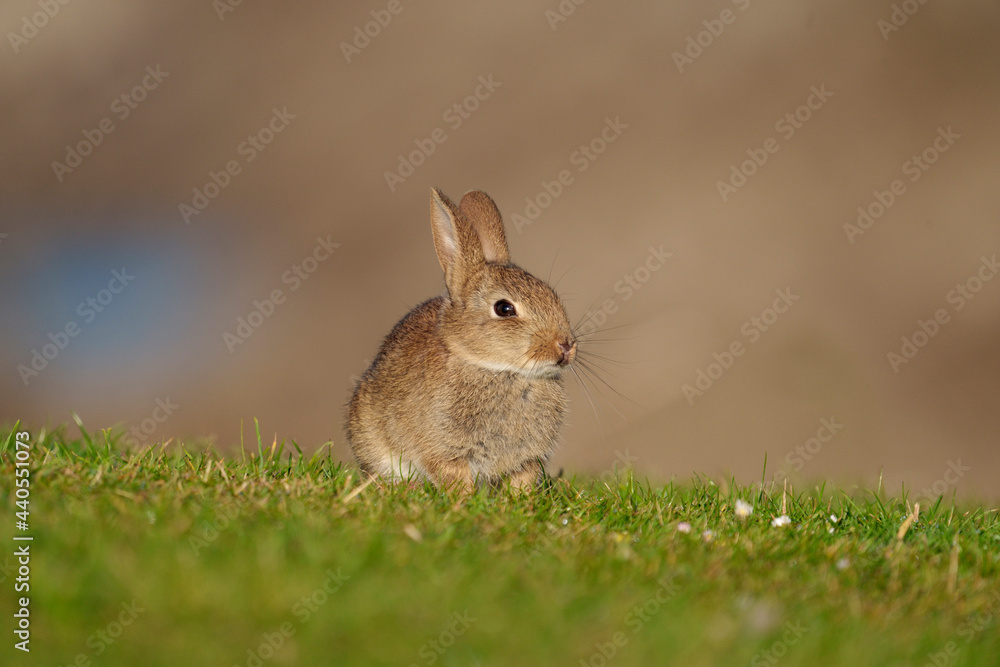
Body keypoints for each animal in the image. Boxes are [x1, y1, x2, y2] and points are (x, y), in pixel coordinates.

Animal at [346, 188, 577, 491]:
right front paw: (464, 498)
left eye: (552, 296)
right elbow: (453, 476)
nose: (566, 345)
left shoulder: (527, 459)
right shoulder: (444, 449)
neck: (498, 369)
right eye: (504, 308)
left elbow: (521, 481)